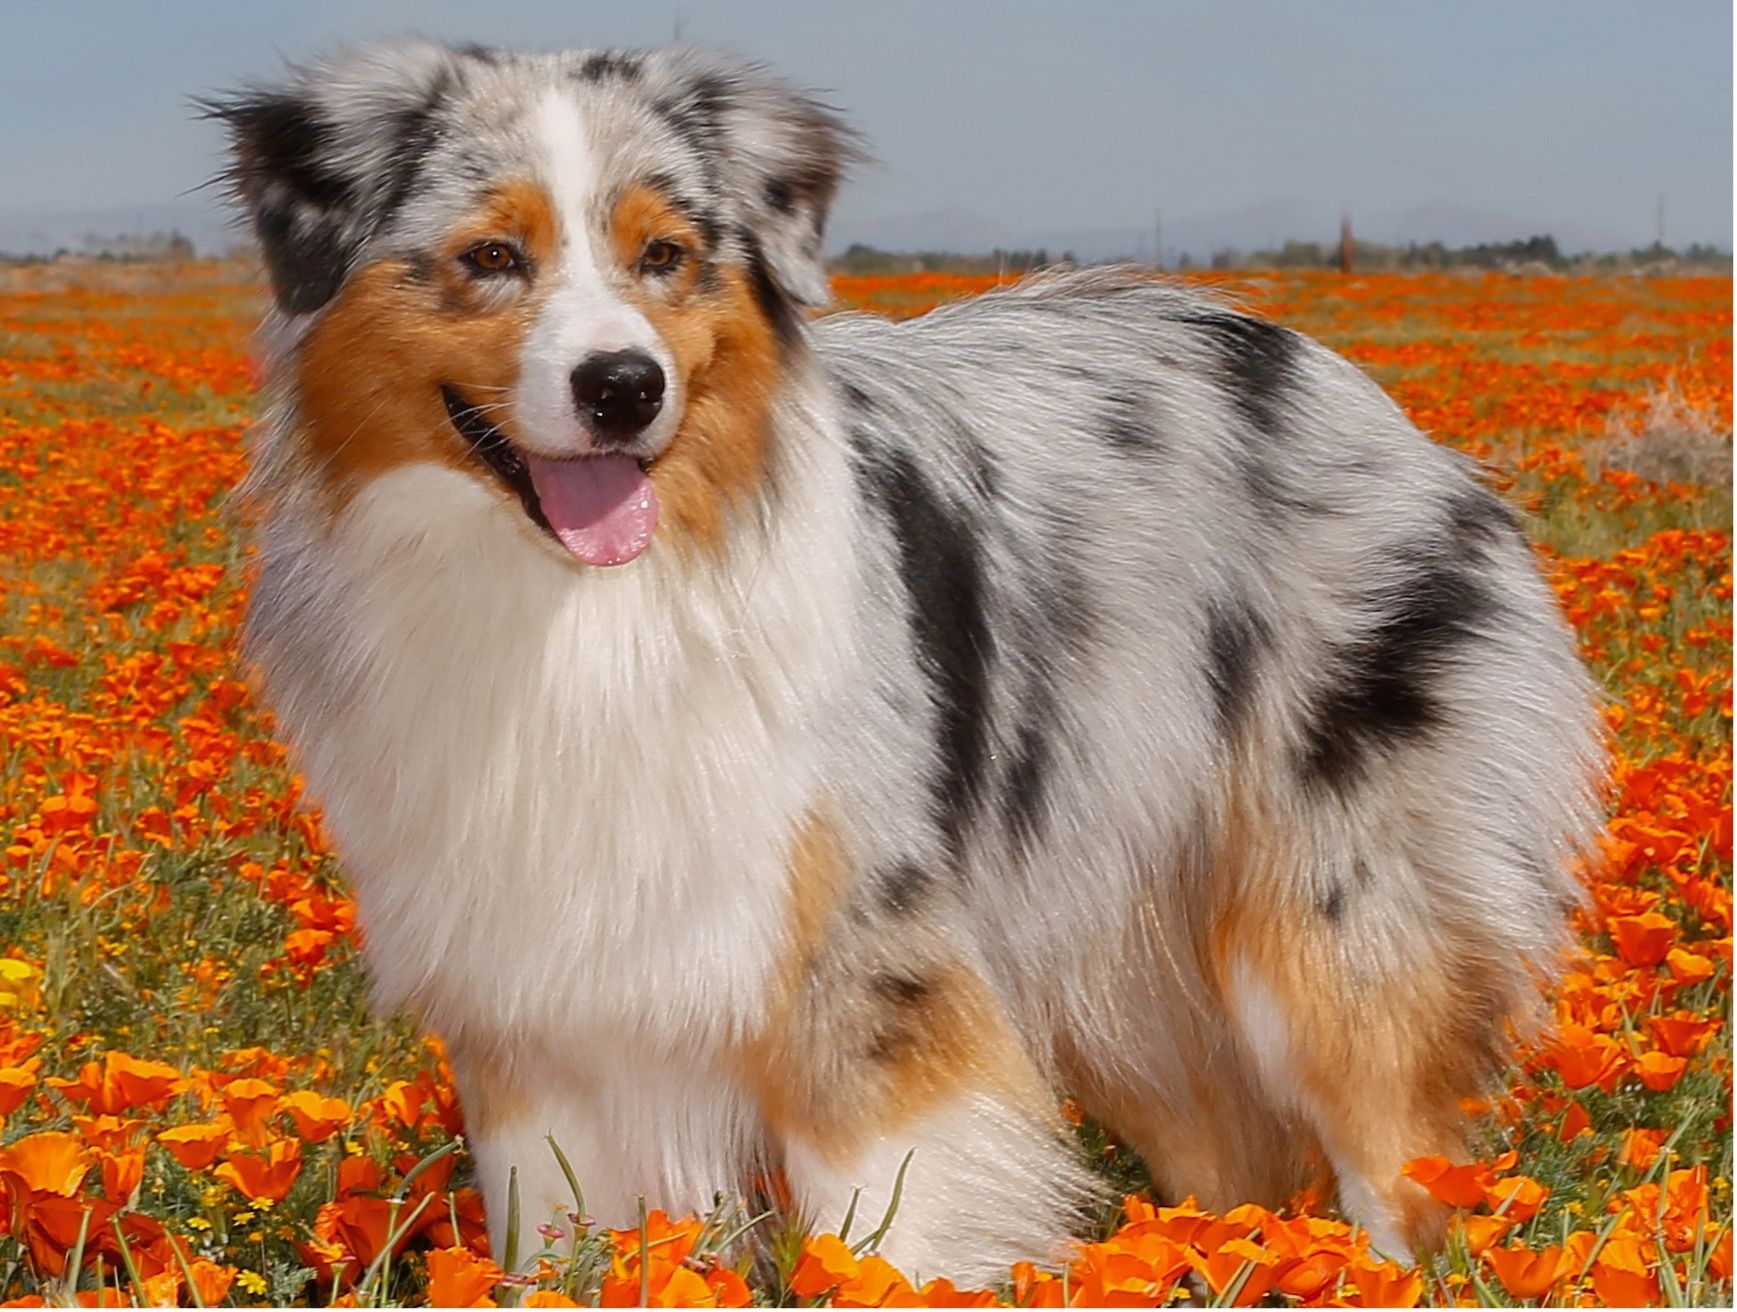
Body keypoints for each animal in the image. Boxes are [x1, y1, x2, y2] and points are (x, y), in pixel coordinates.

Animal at [213, 38, 1598, 1285]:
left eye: (665, 256)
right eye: (491, 258)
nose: (623, 387)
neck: (586, 612)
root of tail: (1341, 381)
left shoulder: (866, 967)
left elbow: (886, 1231)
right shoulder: (537, 1008)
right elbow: (561, 1242)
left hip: (1331, 921)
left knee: (1398, 1159)